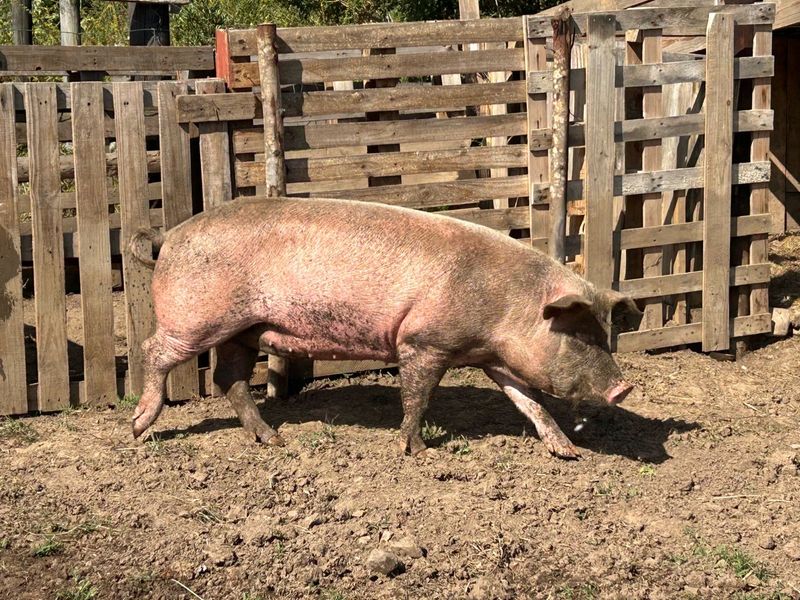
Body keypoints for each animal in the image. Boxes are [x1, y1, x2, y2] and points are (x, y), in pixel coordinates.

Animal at [130, 195, 644, 458]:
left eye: (603, 335)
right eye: (578, 334)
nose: (624, 388)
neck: (506, 307)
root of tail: (169, 234)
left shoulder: (494, 359)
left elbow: (529, 402)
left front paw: (567, 452)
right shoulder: (422, 341)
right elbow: (417, 396)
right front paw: (415, 449)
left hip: (243, 329)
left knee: (229, 378)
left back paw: (273, 440)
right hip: (197, 319)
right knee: (152, 350)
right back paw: (138, 428)